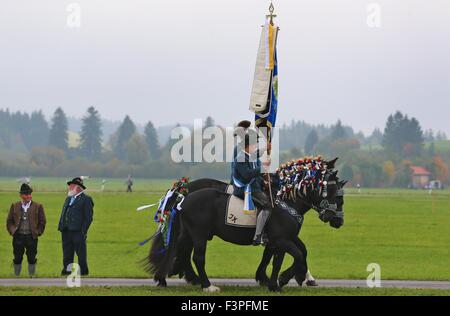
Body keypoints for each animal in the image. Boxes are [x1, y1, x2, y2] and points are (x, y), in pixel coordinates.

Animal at [146, 168, 342, 292]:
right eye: (335, 194)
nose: (338, 220)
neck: (287, 202)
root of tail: (184, 197)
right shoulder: (282, 240)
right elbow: (297, 255)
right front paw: (284, 279)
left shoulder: (283, 239)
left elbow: (280, 259)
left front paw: (275, 283)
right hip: (199, 235)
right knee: (197, 257)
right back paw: (206, 285)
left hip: (188, 234)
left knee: (179, 252)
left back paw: (167, 277)